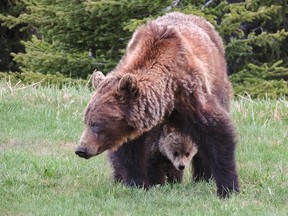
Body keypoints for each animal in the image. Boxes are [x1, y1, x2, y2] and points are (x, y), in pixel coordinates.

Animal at [75, 11, 240, 197]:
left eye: (96, 124)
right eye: (86, 121)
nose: (81, 149)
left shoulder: (189, 95)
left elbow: (216, 133)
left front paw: (228, 187)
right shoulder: (141, 121)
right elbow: (134, 152)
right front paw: (138, 183)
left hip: (219, 83)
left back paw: (202, 177)